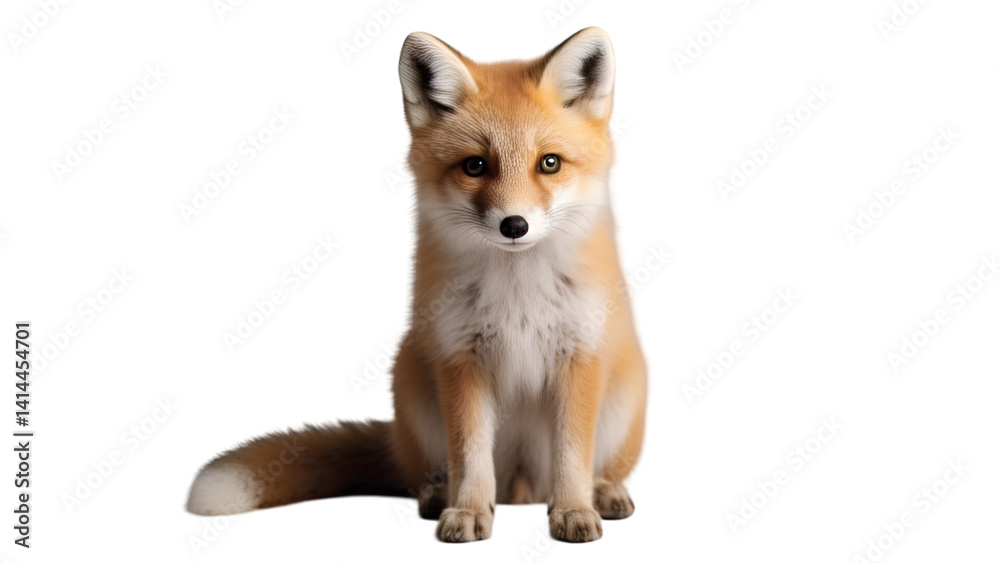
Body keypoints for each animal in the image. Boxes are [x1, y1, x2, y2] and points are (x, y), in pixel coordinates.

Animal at [186, 26, 647, 543]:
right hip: (413, 388)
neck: (518, 298)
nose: (514, 225)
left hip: (622, 402)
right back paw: (437, 494)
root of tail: (523, 487)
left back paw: (603, 492)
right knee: (434, 472)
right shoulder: (460, 357)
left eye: (549, 163)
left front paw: (572, 510)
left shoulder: (579, 356)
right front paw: (467, 511)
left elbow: (572, 457)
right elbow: (470, 457)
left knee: (593, 468)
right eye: (475, 166)